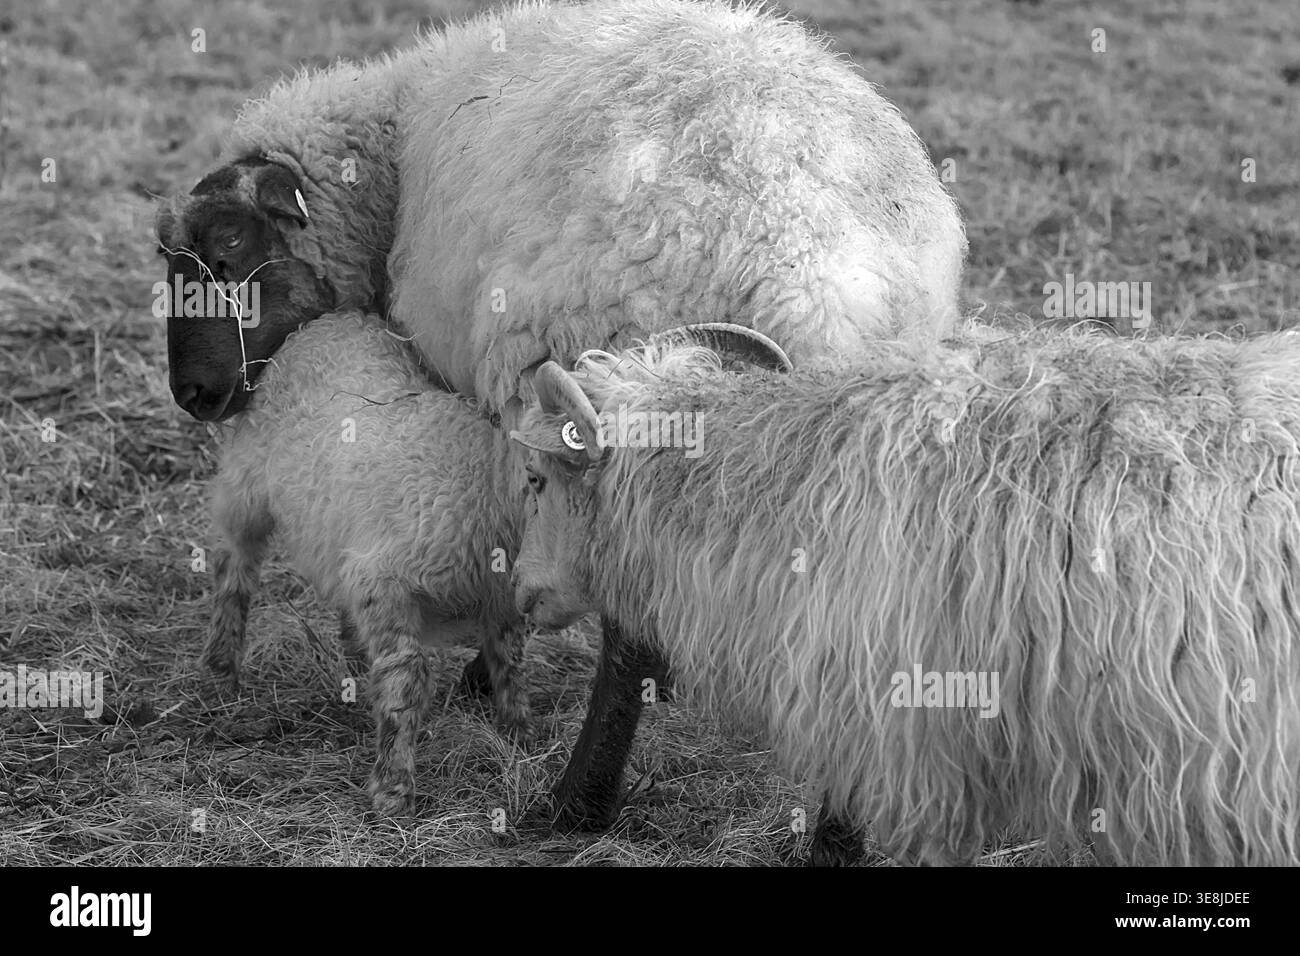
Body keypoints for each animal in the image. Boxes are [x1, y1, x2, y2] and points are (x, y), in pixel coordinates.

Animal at [205, 309, 530, 814]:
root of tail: (334, 319)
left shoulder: (501, 597)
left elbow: (509, 657)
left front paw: (520, 730)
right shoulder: (385, 580)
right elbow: (407, 676)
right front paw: (393, 787)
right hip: (247, 482)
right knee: (232, 563)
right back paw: (222, 667)